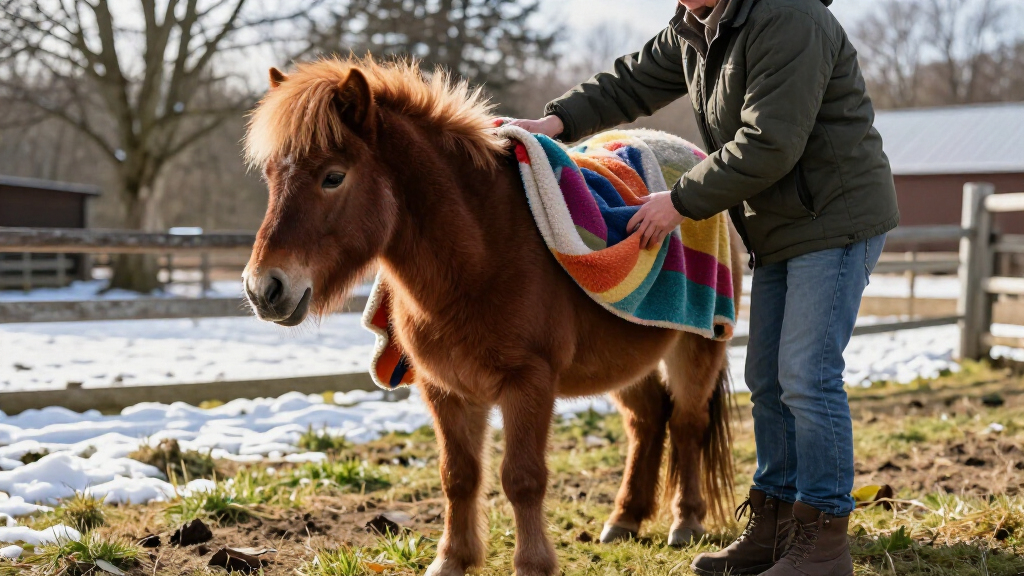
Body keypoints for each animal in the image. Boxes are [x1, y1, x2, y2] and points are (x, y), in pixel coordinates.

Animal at [242, 57, 744, 576]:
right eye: (271, 177)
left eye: (333, 177)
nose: (264, 289)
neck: (482, 252)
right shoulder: (445, 388)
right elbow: (458, 476)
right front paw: (452, 559)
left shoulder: (528, 383)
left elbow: (522, 478)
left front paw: (532, 563)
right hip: (626, 359)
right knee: (647, 422)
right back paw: (625, 517)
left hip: (697, 348)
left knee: (686, 424)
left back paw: (686, 522)